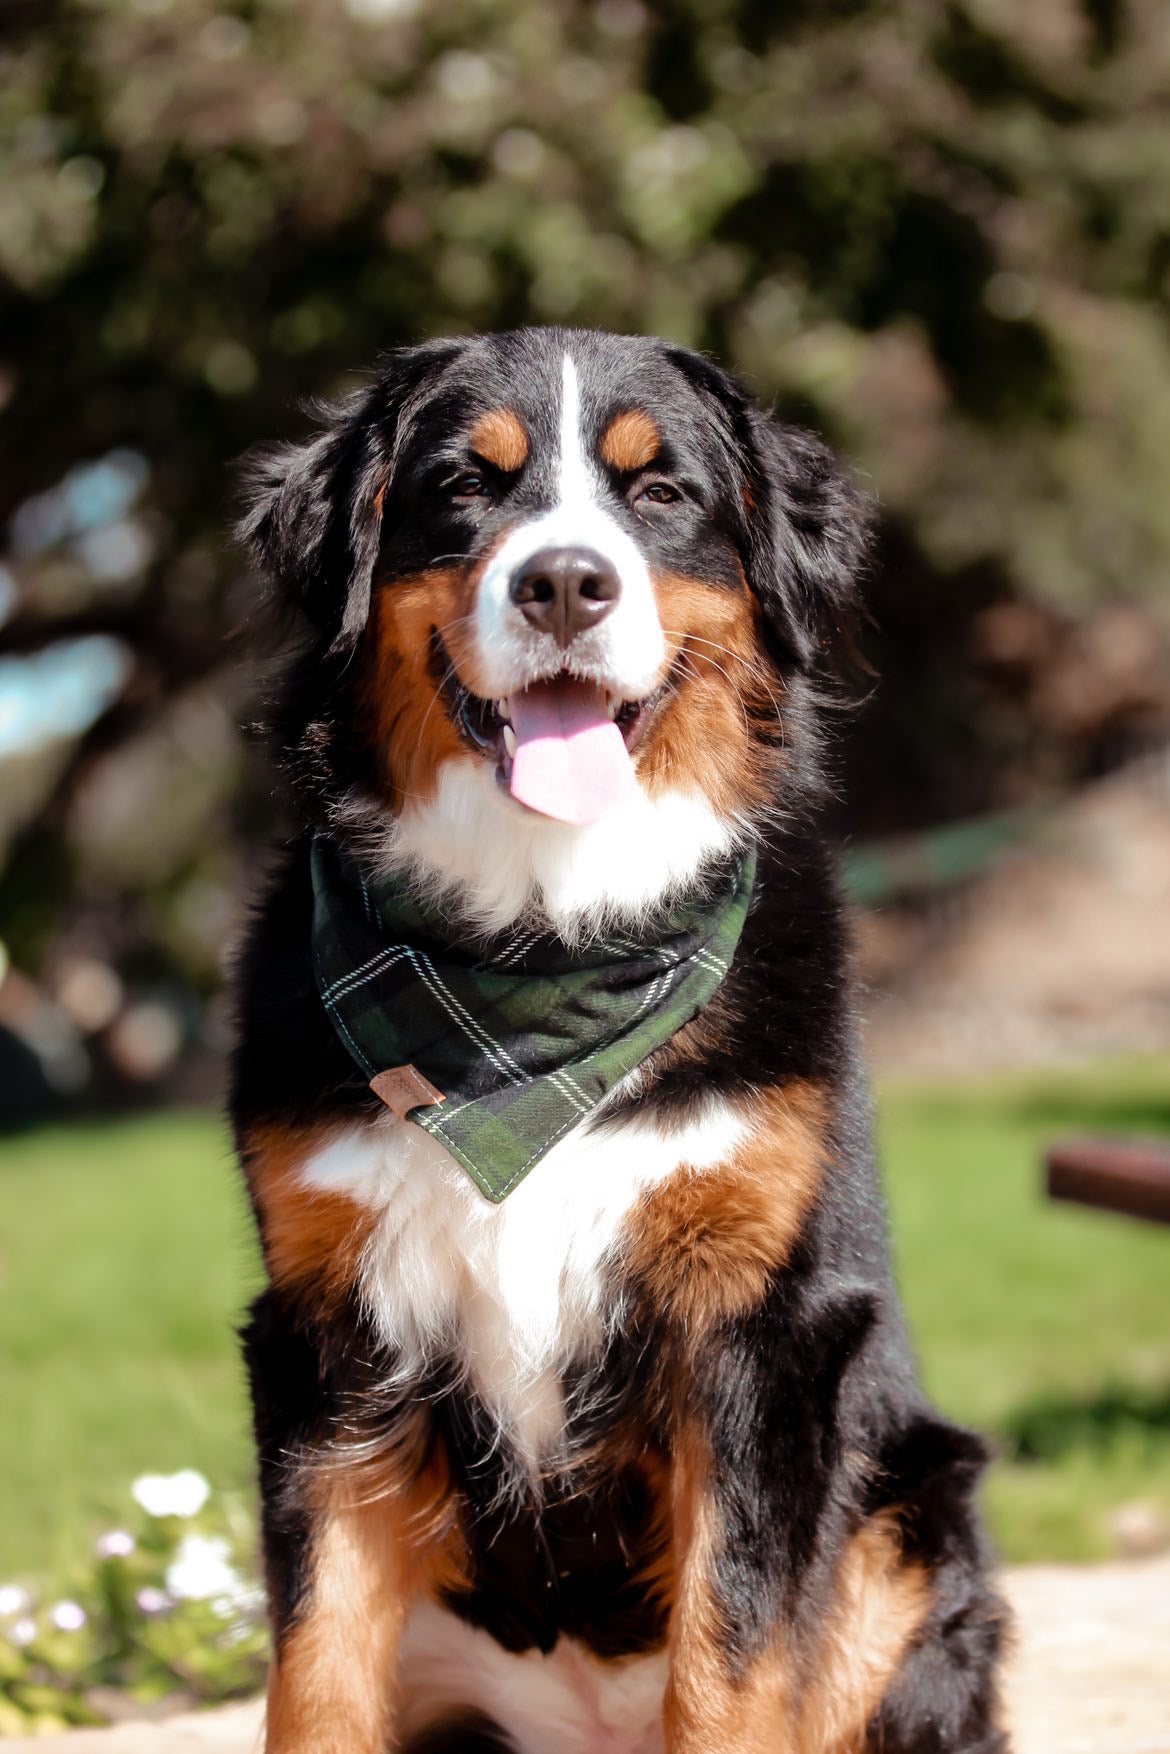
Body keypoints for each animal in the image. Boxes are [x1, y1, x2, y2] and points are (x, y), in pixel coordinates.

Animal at [233, 329, 1010, 1754]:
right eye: (461, 485)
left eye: (661, 492)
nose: (563, 583)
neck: (543, 945)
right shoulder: (328, 1329)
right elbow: (314, 1668)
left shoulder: (758, 1326)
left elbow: (734, 1654)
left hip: (904, 1525)